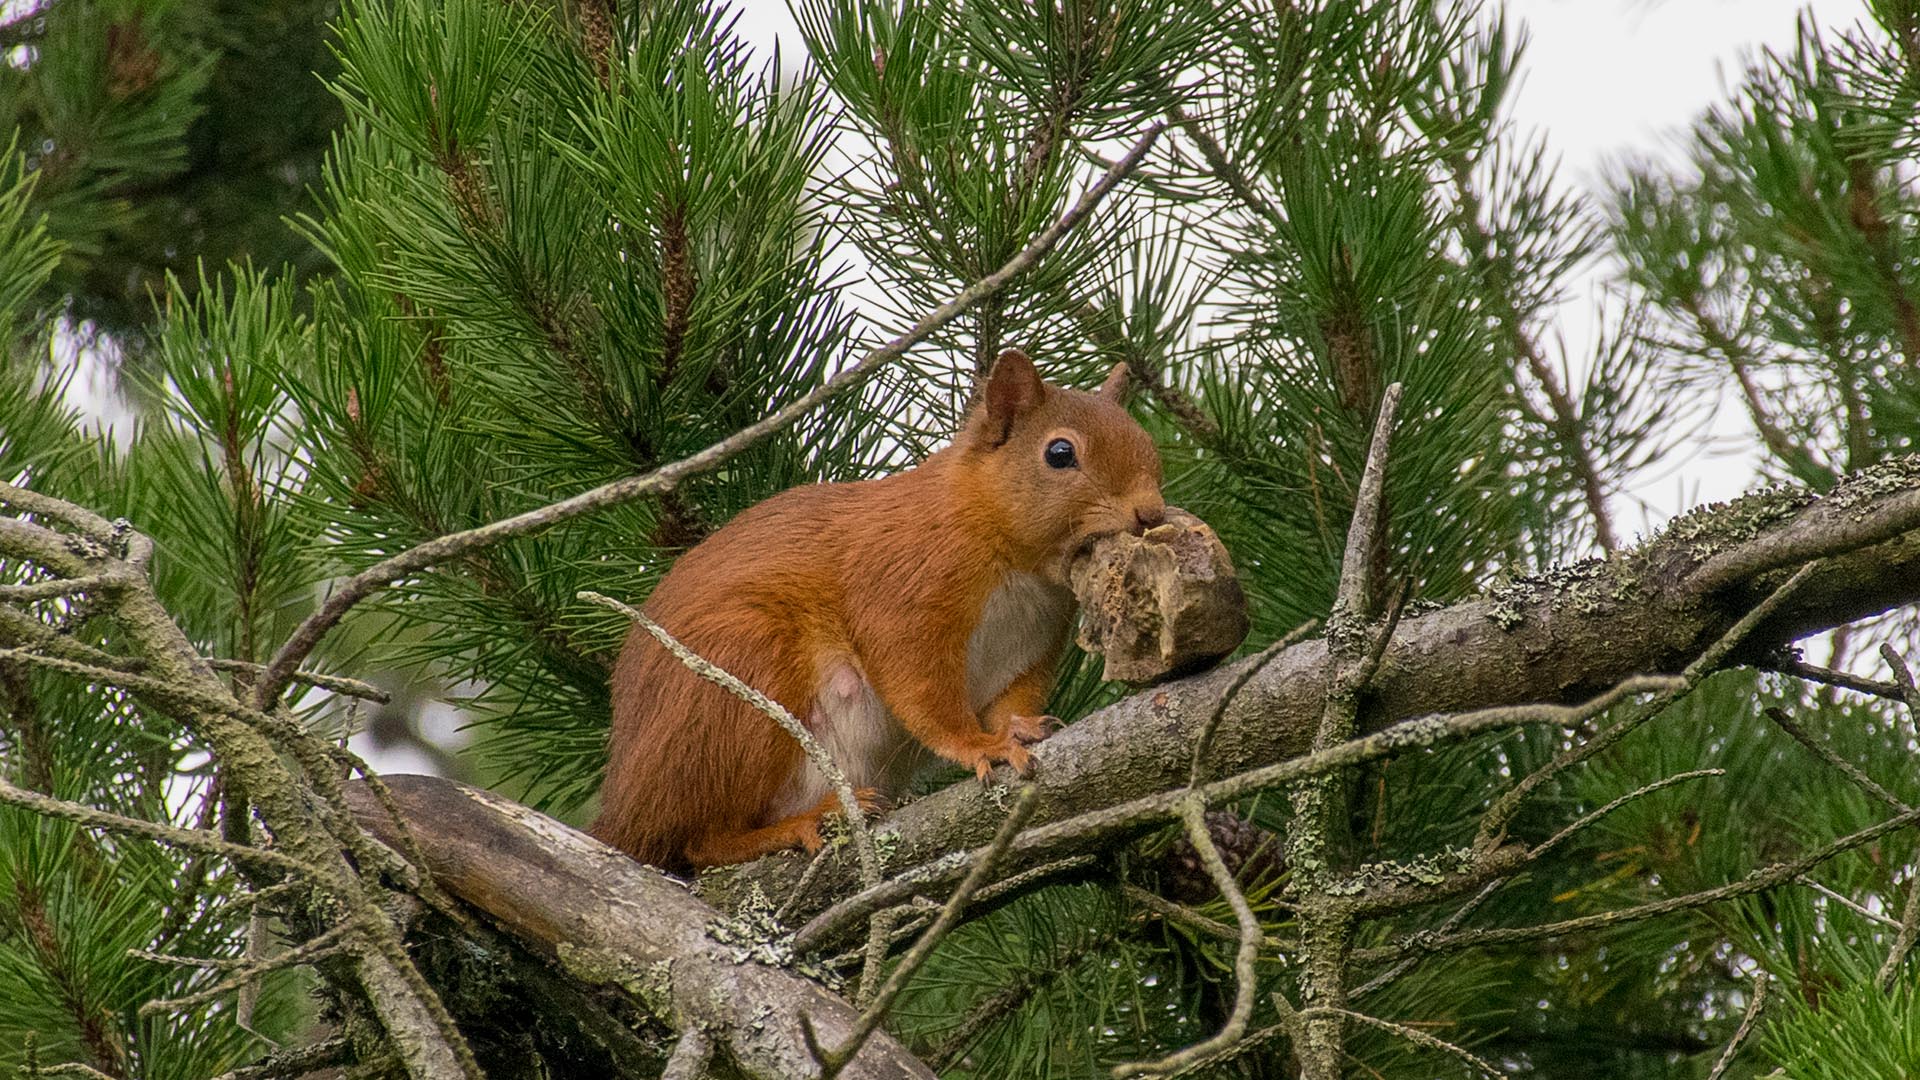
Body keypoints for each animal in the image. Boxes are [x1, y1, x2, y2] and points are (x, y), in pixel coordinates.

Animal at [583, 349, 1159, 868]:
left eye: (1148, 443)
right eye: (1060, 454)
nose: (1150, 513)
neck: (1017, 560)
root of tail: (624, 809)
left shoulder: (1030, 647)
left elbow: (1011, 700)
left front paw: (1021, 728)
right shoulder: (902, 592)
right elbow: (923, 692)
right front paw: (979, 744)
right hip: (740, 677)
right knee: (700, 840)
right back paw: (804, 822)